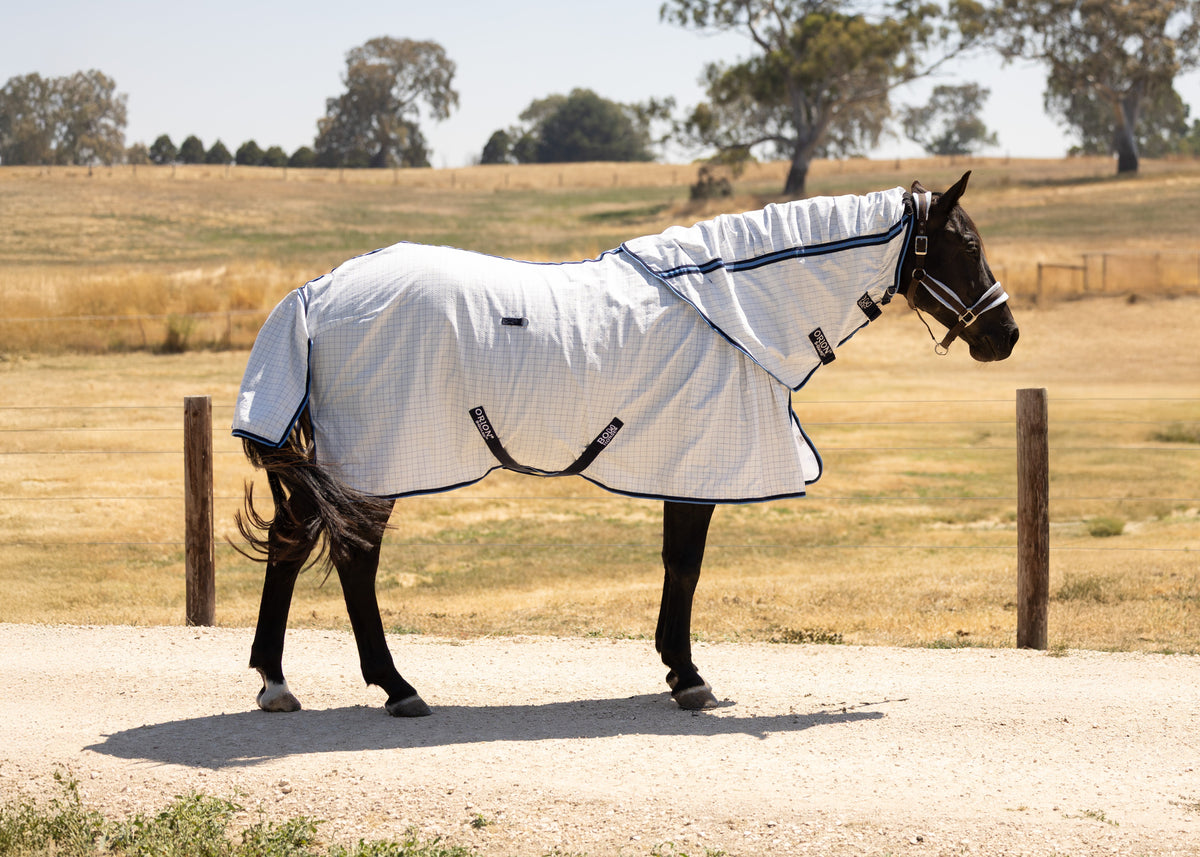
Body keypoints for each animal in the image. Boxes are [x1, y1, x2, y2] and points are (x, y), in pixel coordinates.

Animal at [233, 171, 1018, 717]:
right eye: (968, 246)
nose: (1005, 335)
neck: (733, 312)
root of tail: (316, 291)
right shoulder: (701, 466)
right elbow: (686, 568)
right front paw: (689, 676)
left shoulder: (683, 469)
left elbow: (676, 567)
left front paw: (677, 670)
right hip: (378, 464)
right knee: (355, 563)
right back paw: (396, 687)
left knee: (291, 542)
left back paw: (276, 681)